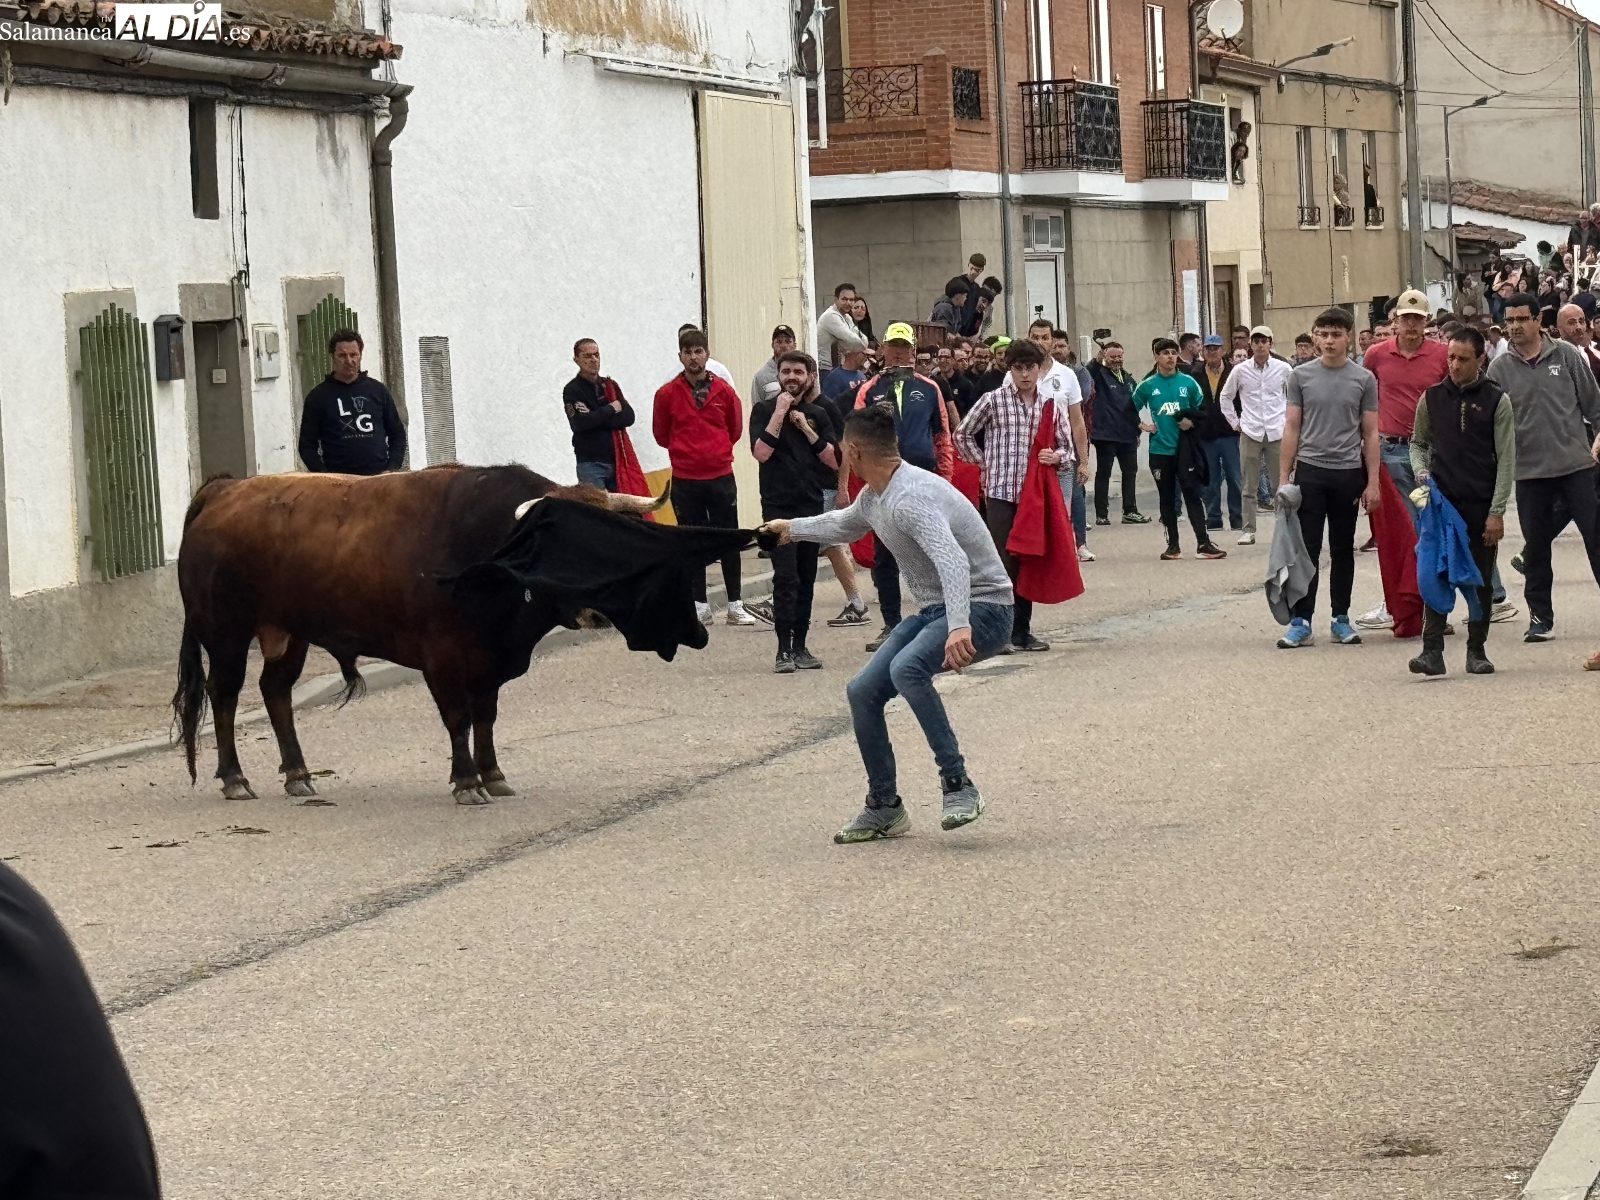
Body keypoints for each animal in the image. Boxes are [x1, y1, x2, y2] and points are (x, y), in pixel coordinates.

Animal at [171, 464, 739, 804]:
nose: (593, 611)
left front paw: (493, 774)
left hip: (290, 632)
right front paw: (466, 780)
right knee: (224, 697)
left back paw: (298, 774)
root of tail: (224, 489)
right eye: (558, 546)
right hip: (224, 631)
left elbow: (485, 718)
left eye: (614, 544)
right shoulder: (442, 659)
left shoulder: (489, 663)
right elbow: (458, 719)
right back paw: (235, 778)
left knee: (276, 692)